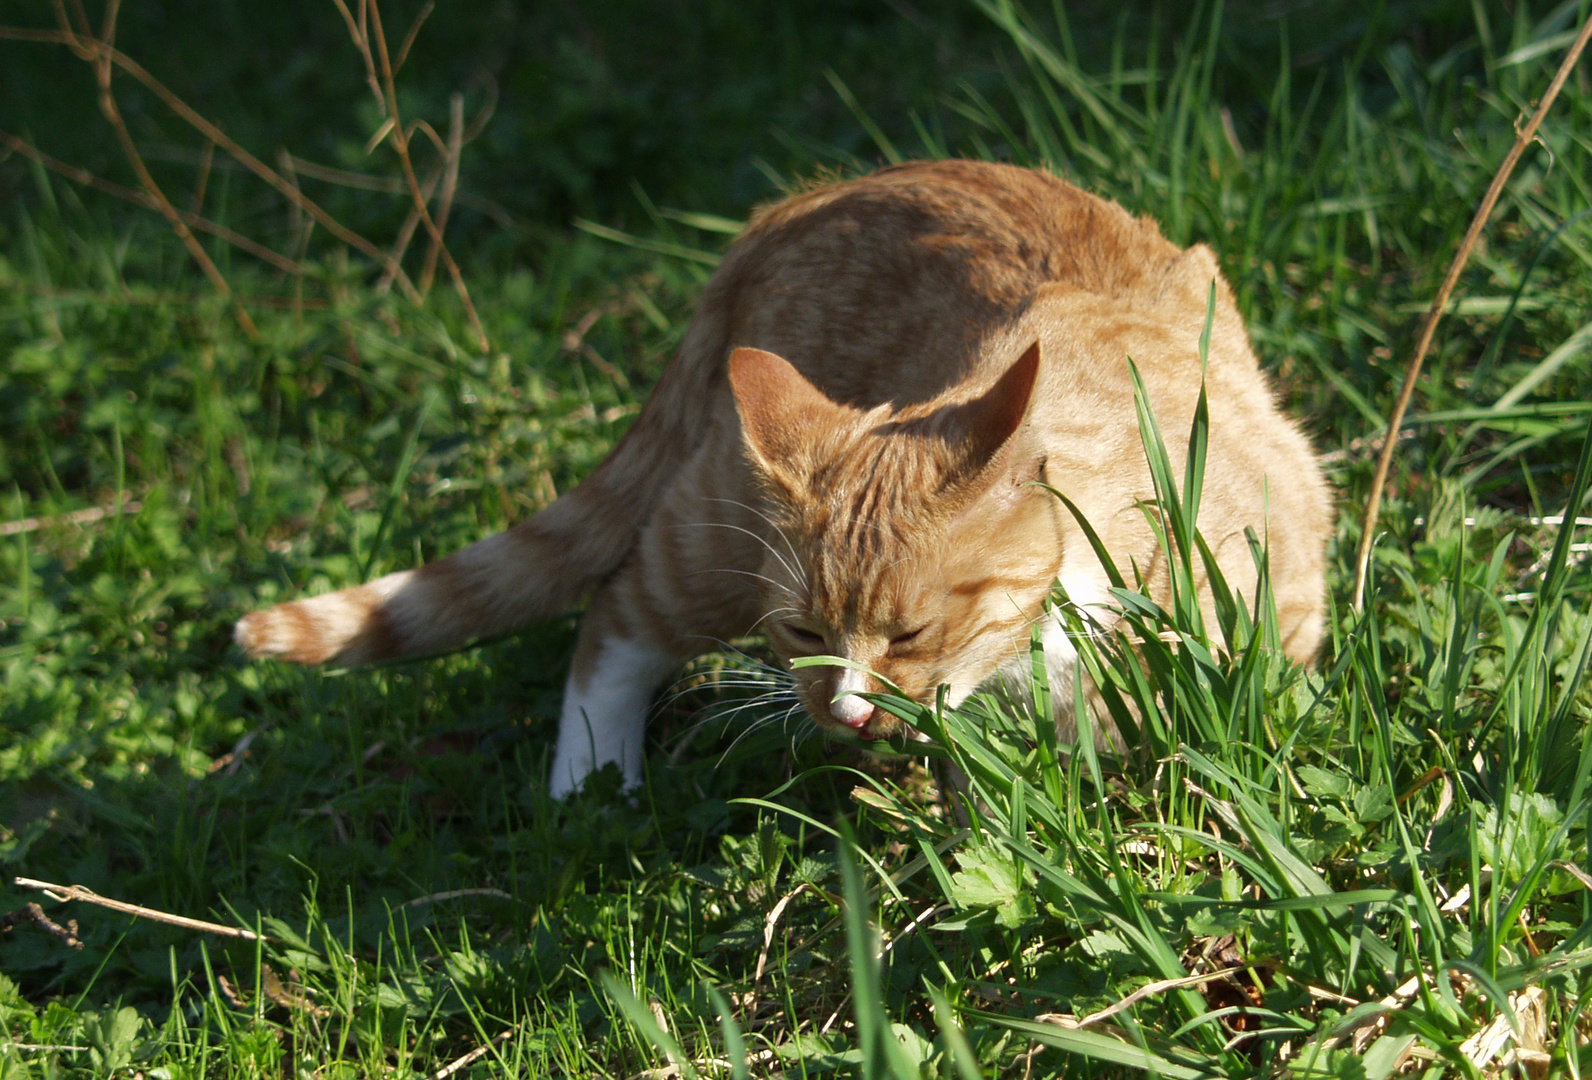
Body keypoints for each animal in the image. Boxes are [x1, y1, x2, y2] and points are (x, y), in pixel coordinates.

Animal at [235, 163, 1330, 802]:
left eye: (910, 634)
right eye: (802, 631)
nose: (841, 711)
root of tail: (780, 212)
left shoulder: (1284, 597)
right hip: (708, 535)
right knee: (615, 615)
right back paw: (590, 783)